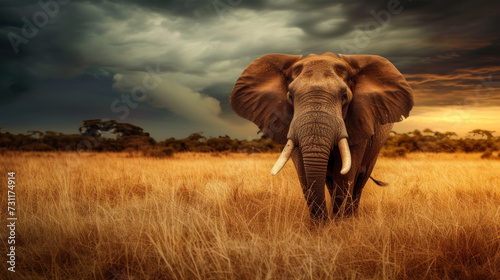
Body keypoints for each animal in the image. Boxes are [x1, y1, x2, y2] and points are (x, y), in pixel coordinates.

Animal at [230, 52, 414, 223]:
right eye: (290, 96)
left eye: (344, 96)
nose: (324, 222)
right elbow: (304, 173)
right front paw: (321, 227)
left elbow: (345, 174)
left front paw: (340, 225)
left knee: (360, 180)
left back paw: (352, 216)